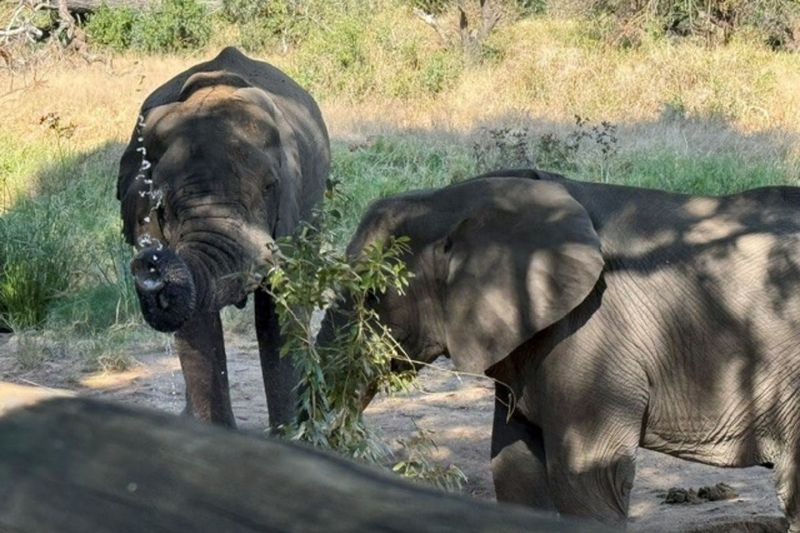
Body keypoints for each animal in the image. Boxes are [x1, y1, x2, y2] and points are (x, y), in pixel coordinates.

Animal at [117, 47, 330, 430]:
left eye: (270, 187)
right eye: (161, 205)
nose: (148, 264)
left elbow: (277, 310)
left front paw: (292, 436)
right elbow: (197, 319)